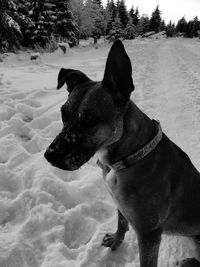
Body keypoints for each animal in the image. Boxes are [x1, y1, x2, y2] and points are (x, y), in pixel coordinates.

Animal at [44, 40, 200, 267]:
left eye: (89, 119)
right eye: (64, 113)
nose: (50, 155)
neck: (130, 155)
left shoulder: (149, 234)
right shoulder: (121, 205)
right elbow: (121, 222)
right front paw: (117, 240)